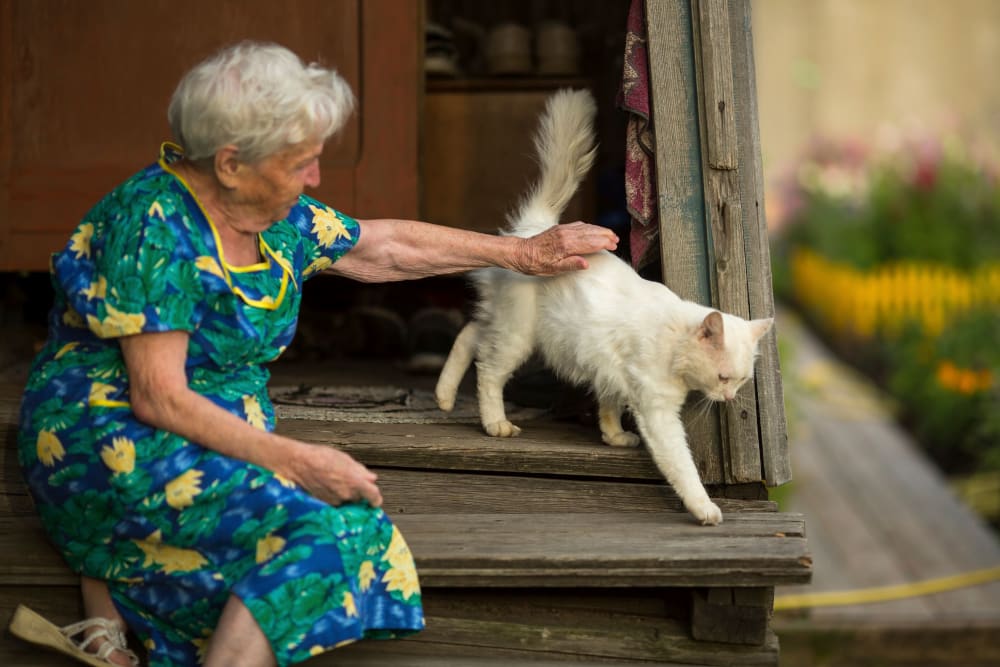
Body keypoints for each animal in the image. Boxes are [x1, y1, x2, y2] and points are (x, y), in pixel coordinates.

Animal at [436, 90, 772, 528]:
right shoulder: (657, 411)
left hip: (504, 323)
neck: (673, 340)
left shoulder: (610, 368)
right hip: (518, 337)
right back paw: (496, 423)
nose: (729, 398)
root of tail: (535, 231)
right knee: (488, 370)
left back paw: (443, 396)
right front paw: (705, 509)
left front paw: (613, 437)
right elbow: (682, 467)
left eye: (741, 381)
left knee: (469, 335)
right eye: (723, 377)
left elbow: (609, 404)